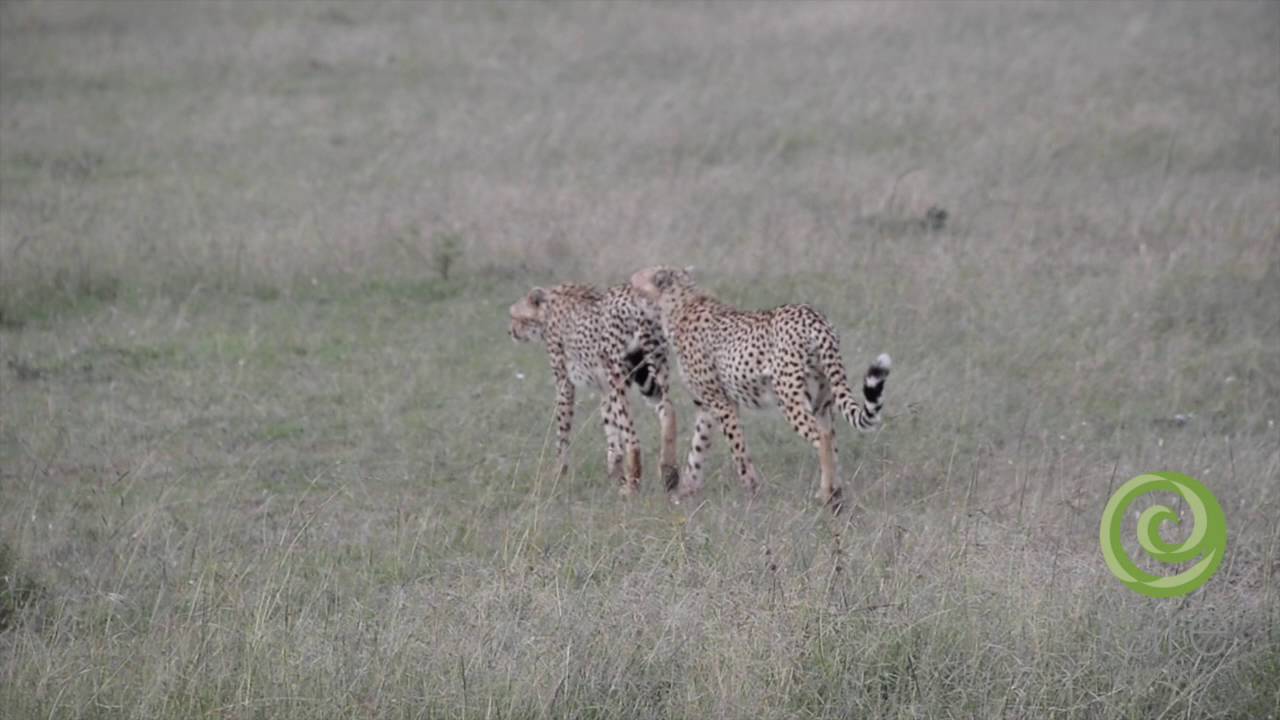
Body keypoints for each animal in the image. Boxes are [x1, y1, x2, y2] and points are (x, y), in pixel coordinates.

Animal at [509, 282, 679, 494]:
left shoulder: (565, 383)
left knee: (633, 438)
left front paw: (558, 474)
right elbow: (611, 434)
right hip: (650, 371)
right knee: (668, 410)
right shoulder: (605, 389)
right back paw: (669, 472)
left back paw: (632, 485)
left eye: (515, 316)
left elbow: (562, 434)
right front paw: (615, 476)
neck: (548, 308)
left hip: (620, 377)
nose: (510, 331)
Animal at [629, 266, 890, 512]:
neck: (680, 303)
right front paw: (685, 491)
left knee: (822, 437)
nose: (628, 288)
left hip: (790, 398)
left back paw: (826, 494)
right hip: (822, 401)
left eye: (636, 282)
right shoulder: (706, 406)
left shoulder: (723, 404)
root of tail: (813, 316)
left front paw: (752, 492)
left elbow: (738, 451)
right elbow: (697, 449)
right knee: (832, 441)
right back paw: (836, 493)